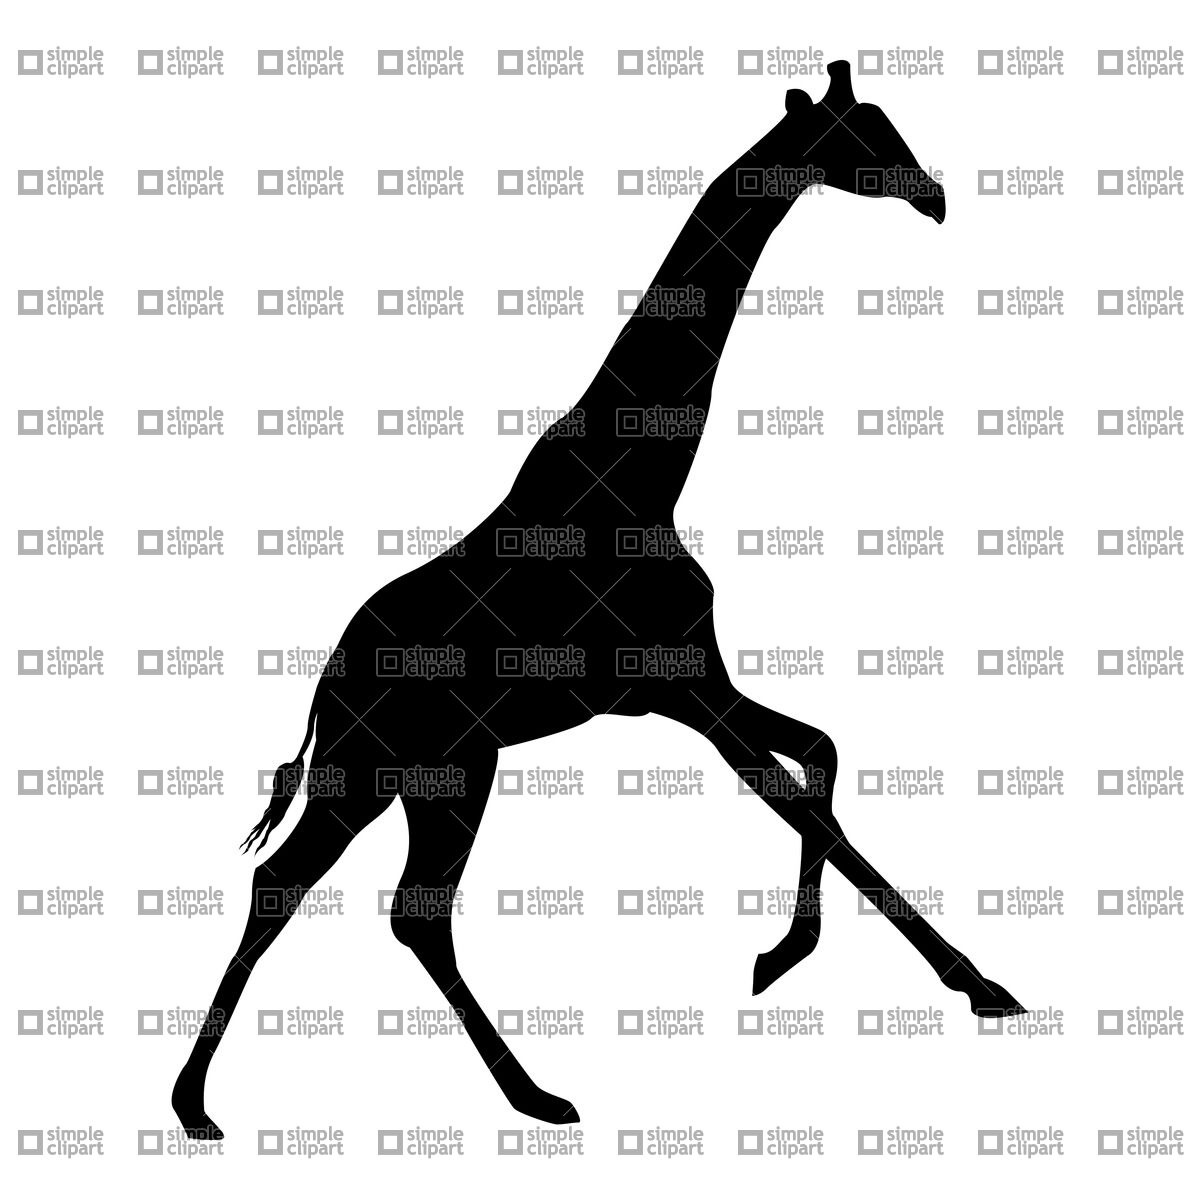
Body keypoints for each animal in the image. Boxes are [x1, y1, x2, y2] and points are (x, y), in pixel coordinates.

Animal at [173, 61, 1025, 1138]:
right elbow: (807, 804)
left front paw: (788, 956)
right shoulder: (684, 689)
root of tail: (327, 683)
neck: (641, 480)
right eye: (862, 138)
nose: (936, 197)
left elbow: (823, 759)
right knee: (342, 897)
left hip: (426, 772)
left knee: (354, 900)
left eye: (888, 125)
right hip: (398, 766)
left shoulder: (689, 683)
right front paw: (965, 980)